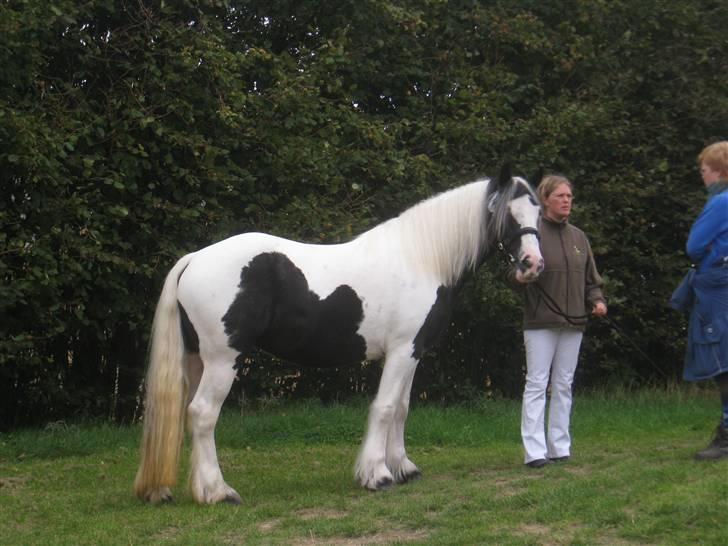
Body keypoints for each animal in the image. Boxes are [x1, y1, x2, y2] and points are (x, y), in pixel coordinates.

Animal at [134, 164, 544, 504]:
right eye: (508, 214)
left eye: (538, 212)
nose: (533, 265)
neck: (422, 259)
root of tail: (194, 259)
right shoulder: (401, 351)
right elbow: (385, 407)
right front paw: (377, 475)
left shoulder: (413, 352)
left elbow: (402, 408)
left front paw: (403, 468)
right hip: (223, 360)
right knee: (203, 414)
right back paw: (219, 492)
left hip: (196, 360)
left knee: (188, 414)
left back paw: (191, 489)